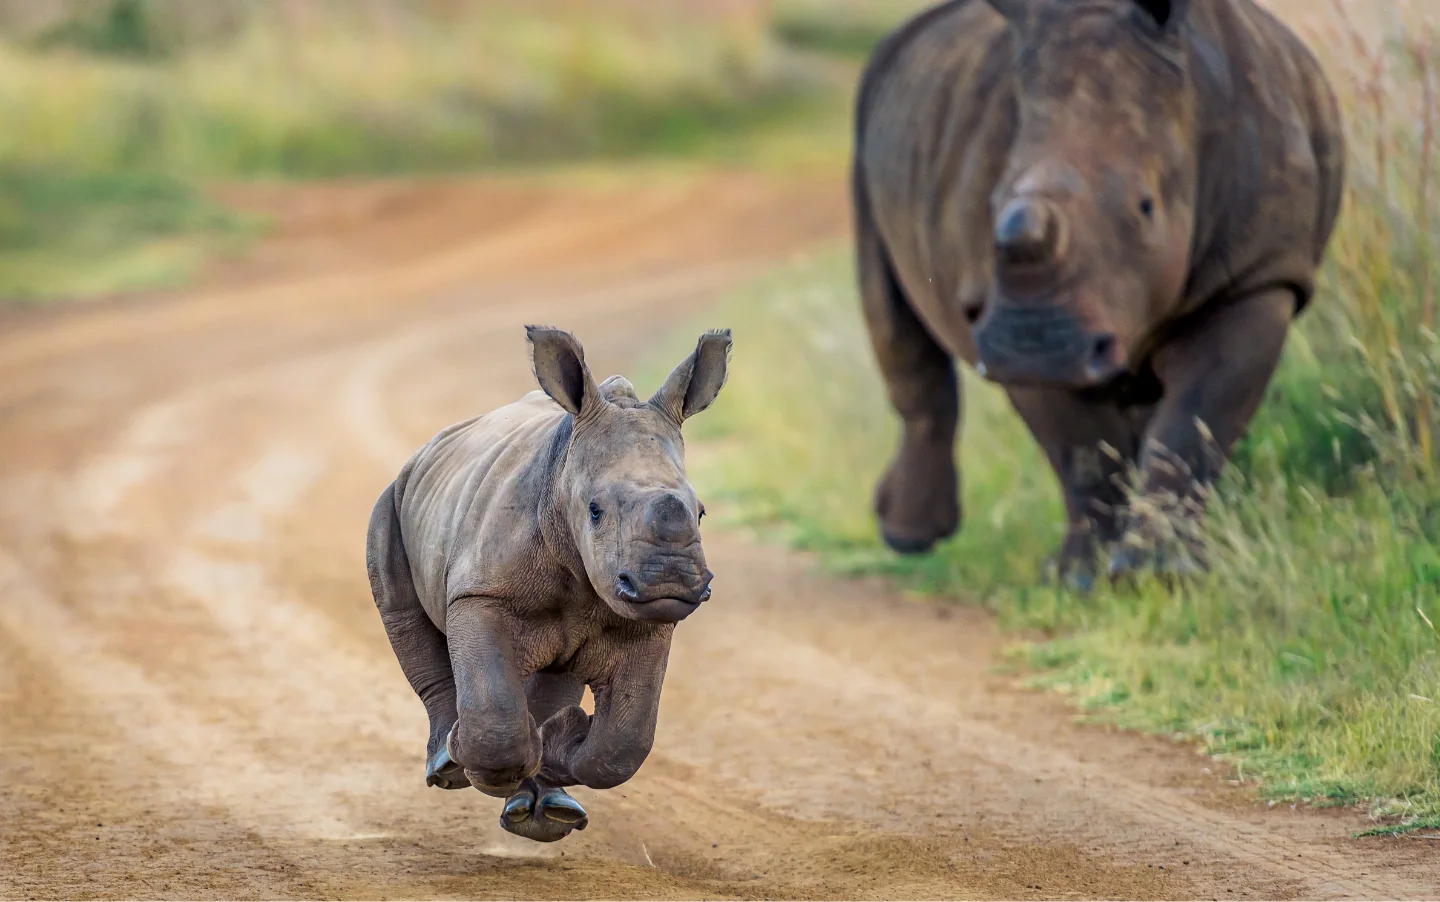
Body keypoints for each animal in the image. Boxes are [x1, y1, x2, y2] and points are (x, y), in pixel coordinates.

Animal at [366, 326, 730, 842]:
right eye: (594, 511)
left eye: (700, 513)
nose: (671, 580)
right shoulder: (481, 593)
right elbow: (496, 714)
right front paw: (480, 758)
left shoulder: (649, 619)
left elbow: (625, 743)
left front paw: (562, 743)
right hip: (395, 497)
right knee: (401, 612)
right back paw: (450, 764)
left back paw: (549, 806)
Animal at [853, 0, 1345, 584]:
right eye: (992, 204)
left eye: (1146, 206)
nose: (1038, 346)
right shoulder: (1012, 320)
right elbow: (1080, 448)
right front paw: (1081, 578)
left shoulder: (1258, 272)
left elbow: (1194, 422)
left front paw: (1159, 574)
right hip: (868, 143)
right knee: (891, 318)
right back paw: (908, 537)